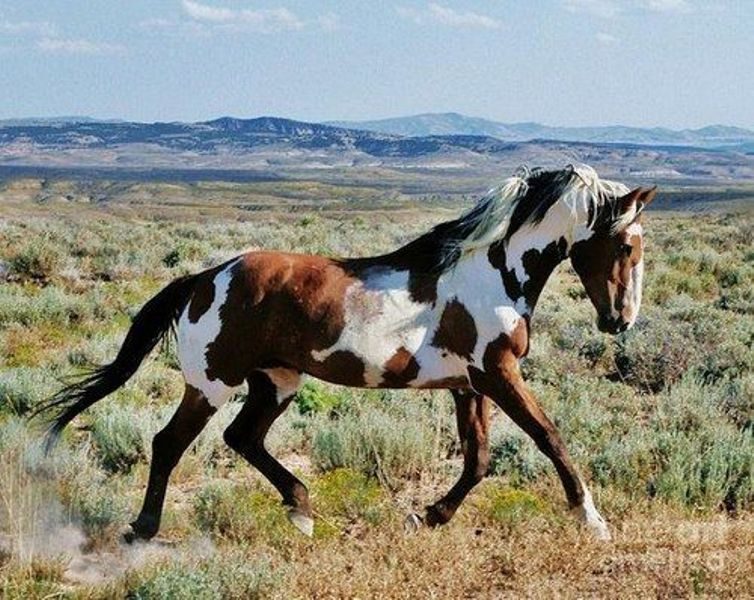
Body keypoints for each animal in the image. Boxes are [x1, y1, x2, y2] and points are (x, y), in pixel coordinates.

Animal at [37, 164, 656, 543]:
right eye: (627, 245)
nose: (620, 320)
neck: (492, 274)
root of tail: (205, 277)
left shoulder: (469, 384)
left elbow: (478, 460)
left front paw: (427, 516)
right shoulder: (498, 373)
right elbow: (549, 437)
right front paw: (592, 520)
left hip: (277, 380)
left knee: (242, 438)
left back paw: (302, 512)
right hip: (213, 382)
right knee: (169, 443)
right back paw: (143, 529)